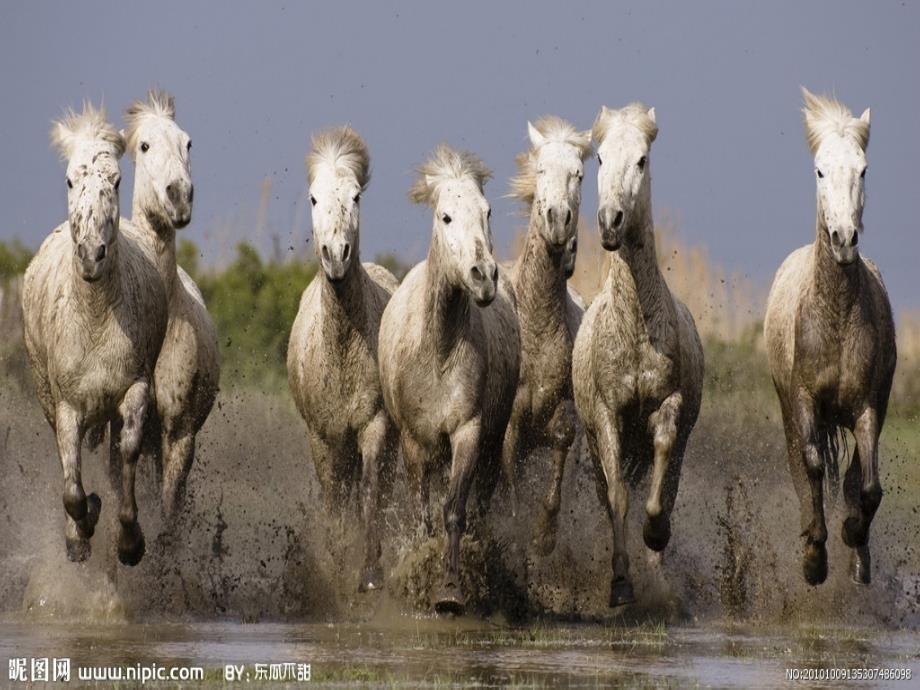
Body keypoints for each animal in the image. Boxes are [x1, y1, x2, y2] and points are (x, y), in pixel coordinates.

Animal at [22, 103, 169, 564]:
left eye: (116, 181)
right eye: (71, 179)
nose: (91, 255)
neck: (94, 319)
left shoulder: (134, 390)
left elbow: (128, 456)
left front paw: (130, 542)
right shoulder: (67, 406)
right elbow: (71, 486)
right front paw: (80, 531)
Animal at [764, 88, 896, 584]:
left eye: (863, 169)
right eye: (820, 170)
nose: (843, 238)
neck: (835, 318)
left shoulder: (867, 407)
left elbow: (869, 486)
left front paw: (852, 539)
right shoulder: (803, 400)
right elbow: (813, 467)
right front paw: (815, 556)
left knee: (857, 477)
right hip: (789, 409)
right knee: (801, 467)